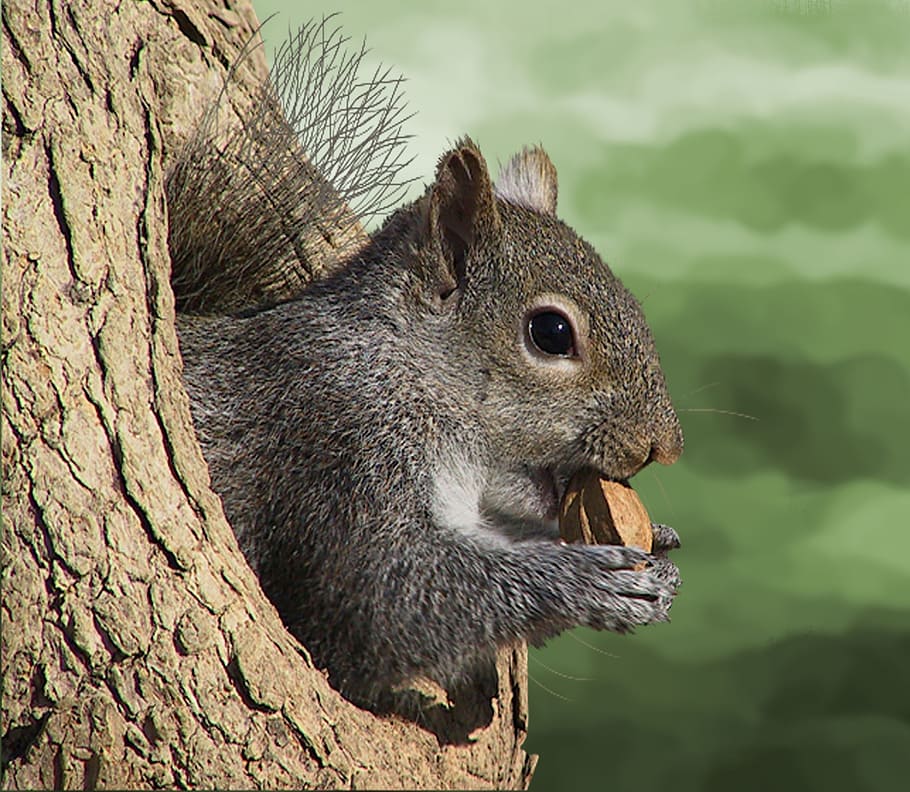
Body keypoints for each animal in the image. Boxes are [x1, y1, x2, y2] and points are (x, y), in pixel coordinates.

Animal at [168, 18, 684, 709]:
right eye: (551, 333)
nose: (662, 447)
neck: (410, 368)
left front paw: (658, 541)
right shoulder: (340, 439)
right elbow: (382, 599)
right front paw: (587, 580)